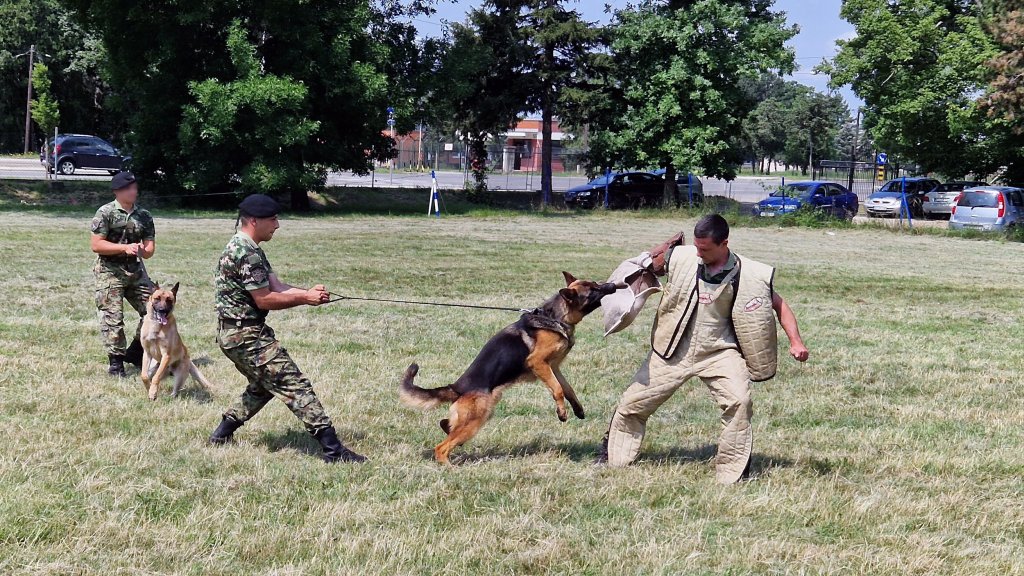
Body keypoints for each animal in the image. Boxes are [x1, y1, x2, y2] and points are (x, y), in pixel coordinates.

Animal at [400, 272, 620, 464]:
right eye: (593, 290)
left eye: (595, 283)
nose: (612, 285)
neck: (556, 317)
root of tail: (457, 387)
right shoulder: (538, 362)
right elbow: (557, 389)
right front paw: (562, 412)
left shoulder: (554, 367)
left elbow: (567, 388)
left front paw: (578, 409)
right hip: (476, 419)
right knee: (441, 447)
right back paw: (449, 467)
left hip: (480, 415)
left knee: (446, 425)